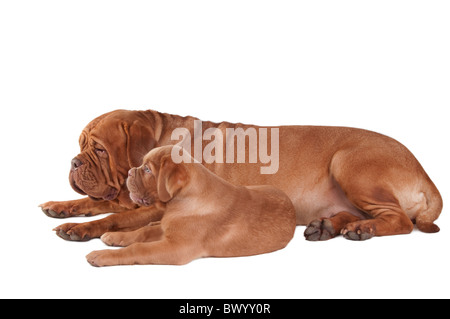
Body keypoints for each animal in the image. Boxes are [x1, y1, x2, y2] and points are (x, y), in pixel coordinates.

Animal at [40, 109, 442, 241]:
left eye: (99, 150)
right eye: (80, 145)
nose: (74, 163)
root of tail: (423, 170)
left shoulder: (156, 207)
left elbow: (112, 217)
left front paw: (78, 229)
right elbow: (94, 203)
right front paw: (61, 206)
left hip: (348, 162)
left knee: (399, 220)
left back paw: (363, 229)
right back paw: (330, 226)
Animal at [86, 148, 298, 268]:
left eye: (147, 170)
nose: (129, 172)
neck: (180, 202)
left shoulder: (176, 247)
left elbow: (137, 249)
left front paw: (101, 255)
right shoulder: (169, 230)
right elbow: (141, 233)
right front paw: (115, 236)